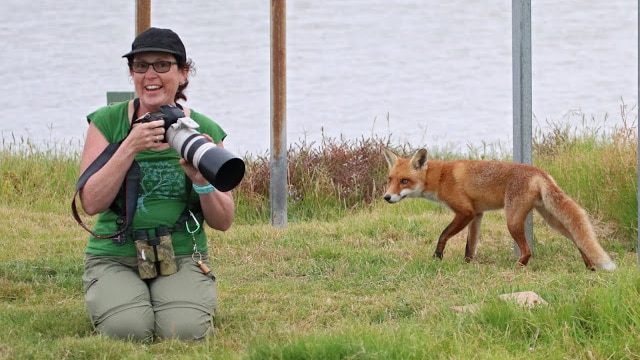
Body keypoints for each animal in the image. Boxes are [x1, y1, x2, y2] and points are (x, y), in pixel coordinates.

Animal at [382, 146, 616, 270]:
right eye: (390, 179)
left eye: (404, 181)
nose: (386, 197)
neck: (440, 178)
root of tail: (540, 172)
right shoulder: (477, 214)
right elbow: (470, 246)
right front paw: (467, 265)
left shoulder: (464, 212)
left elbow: (443, 235)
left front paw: (437, 256)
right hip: (552, 220)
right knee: (579, 239)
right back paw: (590, 266)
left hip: (512, 221)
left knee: (528, 251)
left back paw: (517, 268)